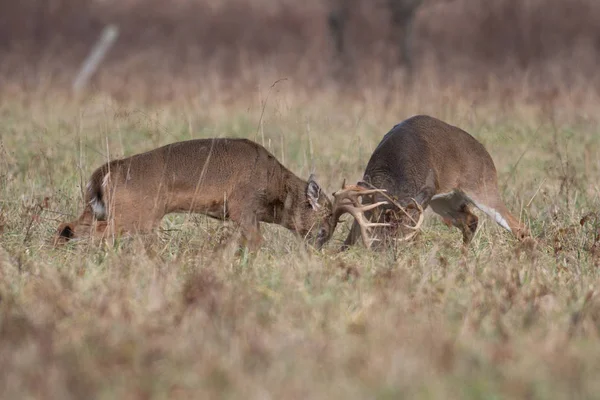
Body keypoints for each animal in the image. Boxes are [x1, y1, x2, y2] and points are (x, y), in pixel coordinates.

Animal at [52, 138, 390, 250]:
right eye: (326, 218)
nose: (321, 242)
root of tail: (108, 170)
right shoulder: (244, 207)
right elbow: (256, 242)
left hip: (99, 209)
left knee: (66, 227)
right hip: (136, 215)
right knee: (96, 234)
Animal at [338, 114, 528, 248]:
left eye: (397, 230)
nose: (382, 248)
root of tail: (485, 153)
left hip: (482, 188)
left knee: (518, 226)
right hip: (445, 201)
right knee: (472, 220)